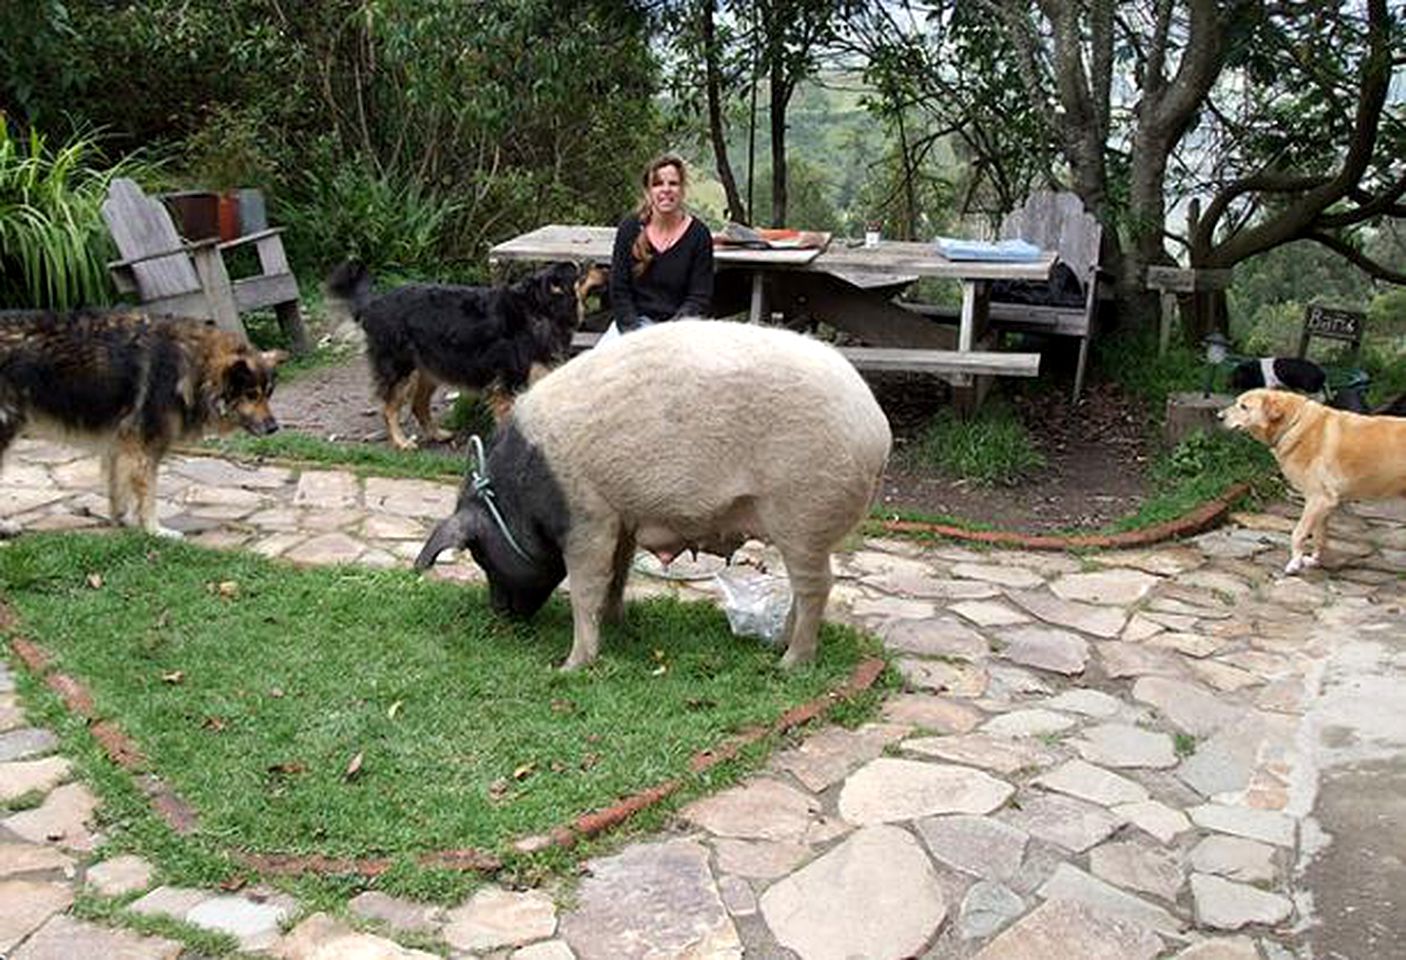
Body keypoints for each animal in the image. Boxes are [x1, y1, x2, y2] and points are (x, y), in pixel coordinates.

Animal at [0, 312, 285, 536]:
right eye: (251, 395)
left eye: (268, 394)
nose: (273, 428)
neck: (192, 367)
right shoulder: (143, 448)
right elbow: (146, 494)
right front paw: (155, 530)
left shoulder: (119, 443)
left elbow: (119, 488)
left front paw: (122, 521)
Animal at [326, 261, 607, 452]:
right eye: (582, 269)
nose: (604, 267)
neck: (540, 307)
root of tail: (372, 304)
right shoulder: (509, 385)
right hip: (402, 368)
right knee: (389, 408)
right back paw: (401, 441)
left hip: (429, 369)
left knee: (418, 405)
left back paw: (436, 434)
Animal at [413, 319, 888, 671]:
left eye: (481, 555)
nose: (499, 615)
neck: (522, 494)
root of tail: (878, 430)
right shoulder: (620, 516)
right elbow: (618, 573)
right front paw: (617, 624)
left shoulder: (588, 518)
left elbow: (585, 586)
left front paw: (570, 665)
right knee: (804, 589)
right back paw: (777, 647)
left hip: (804, 512)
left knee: (817, 587)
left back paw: (789, 663)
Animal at [1220, 387, 1406, 573]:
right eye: (1237, 402)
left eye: (1244, 406)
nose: (1219, 416)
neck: (1293, 424)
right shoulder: (1323, 504)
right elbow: (1319, 535)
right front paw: (1314, 560)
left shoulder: (1318, 499)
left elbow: (1298, 533)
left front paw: (1295, 563)